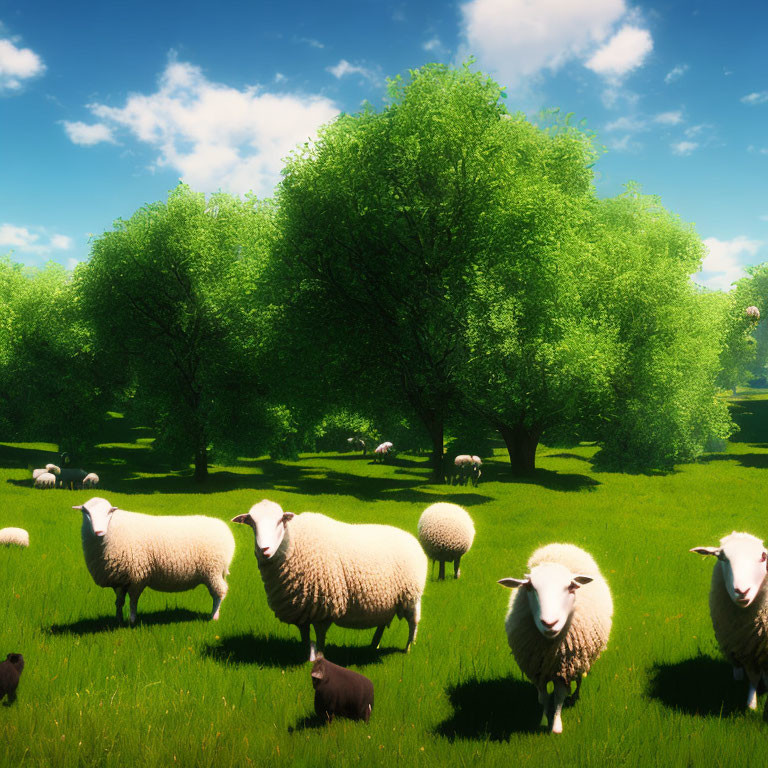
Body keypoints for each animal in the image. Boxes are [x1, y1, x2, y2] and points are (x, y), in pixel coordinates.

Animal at [77, 498, 237, 624]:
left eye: (109, 512)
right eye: (86, 512)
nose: (99, 531)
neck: (112, 530)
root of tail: (225, 529)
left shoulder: (137, 575)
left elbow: (133, 600)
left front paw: (132, 621)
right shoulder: (119, 579)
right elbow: (119, 602)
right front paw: (118, 620)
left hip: (213, 570)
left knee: (219, 593)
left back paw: (214, 616)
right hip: (217, 571)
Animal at [231, 498, 428, 660]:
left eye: (280, 520)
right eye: (251, 522)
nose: (264, 549)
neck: (293, 544)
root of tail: (411, 538)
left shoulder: (323, 605)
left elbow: (320, 635)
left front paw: (319, 658)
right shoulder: (301, 607)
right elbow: (304, 635)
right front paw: (306, 655)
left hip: (411, 596)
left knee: (413, 622)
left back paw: (407, 649)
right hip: (389, 602)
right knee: (382, 624)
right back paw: (374, 645)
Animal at [500, 544, 616, 736]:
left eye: (571, 587)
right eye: (529, 587)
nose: (549, 623)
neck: (550, 650)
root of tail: (563, 546)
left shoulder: (565, 668)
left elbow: (560, 696)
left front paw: (556, 726)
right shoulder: (538, 670)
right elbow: (544, 697)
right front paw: (544, 719)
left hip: (581, 659)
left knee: (579, 679)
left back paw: (575, 695)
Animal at [692, 532, 768, 712]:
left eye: (763, 557)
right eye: (722, 558)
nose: (742, 591)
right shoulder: (748, 650)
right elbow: (753, 677)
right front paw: (751, 705)